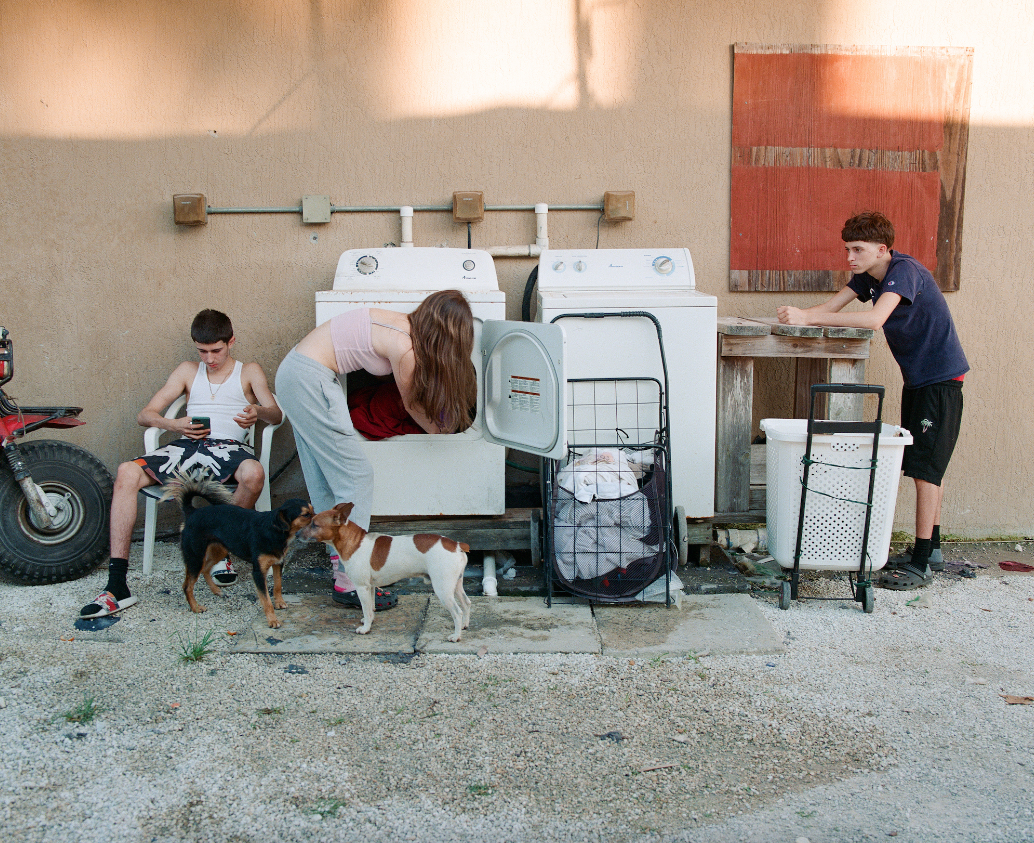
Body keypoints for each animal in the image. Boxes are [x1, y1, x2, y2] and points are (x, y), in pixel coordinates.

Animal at [161, 475, 312, 624]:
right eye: (305, 514)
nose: (317, 517)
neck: (273, 530)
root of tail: (192, 512)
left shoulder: (278, 563)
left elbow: (278, 585)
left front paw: (279, 603)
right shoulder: (258, 572)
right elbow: (266, 599)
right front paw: (272, 620)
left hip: (219, 551)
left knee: (205, 570)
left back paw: (216, 591)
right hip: (195, 558)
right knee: (187, 586)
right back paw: (195, 607)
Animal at [295, 504, 473, 641]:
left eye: (314, 524)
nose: (296, 534)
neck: (355, 541)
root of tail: (456, 545)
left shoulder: (361, 588)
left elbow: (366, 609)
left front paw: (365, 629)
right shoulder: (370, 587)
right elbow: (371, 608)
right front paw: (369, 621)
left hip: (443, 589)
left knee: (457, 612)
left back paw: (456, 636)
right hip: (456, 585)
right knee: (466, 603)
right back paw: (465, 625)